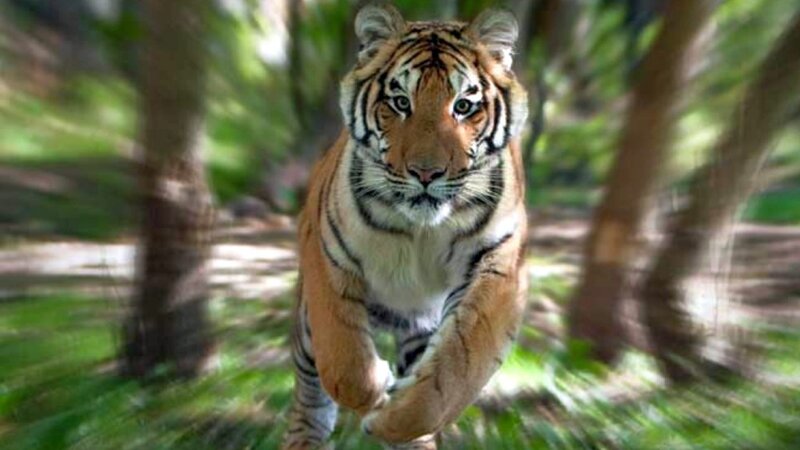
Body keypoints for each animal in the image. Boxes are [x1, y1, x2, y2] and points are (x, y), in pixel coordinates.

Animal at [283, 3, 529, 449]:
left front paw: (390, 417)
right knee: (308, 401)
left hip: (421, 327)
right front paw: (375, 390)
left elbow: (454, 373)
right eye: (399, 102)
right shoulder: (326, 255)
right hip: (306, 329)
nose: (426, 173)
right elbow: (343, 362)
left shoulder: (500, 265)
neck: (423, 228)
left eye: (463, 106)